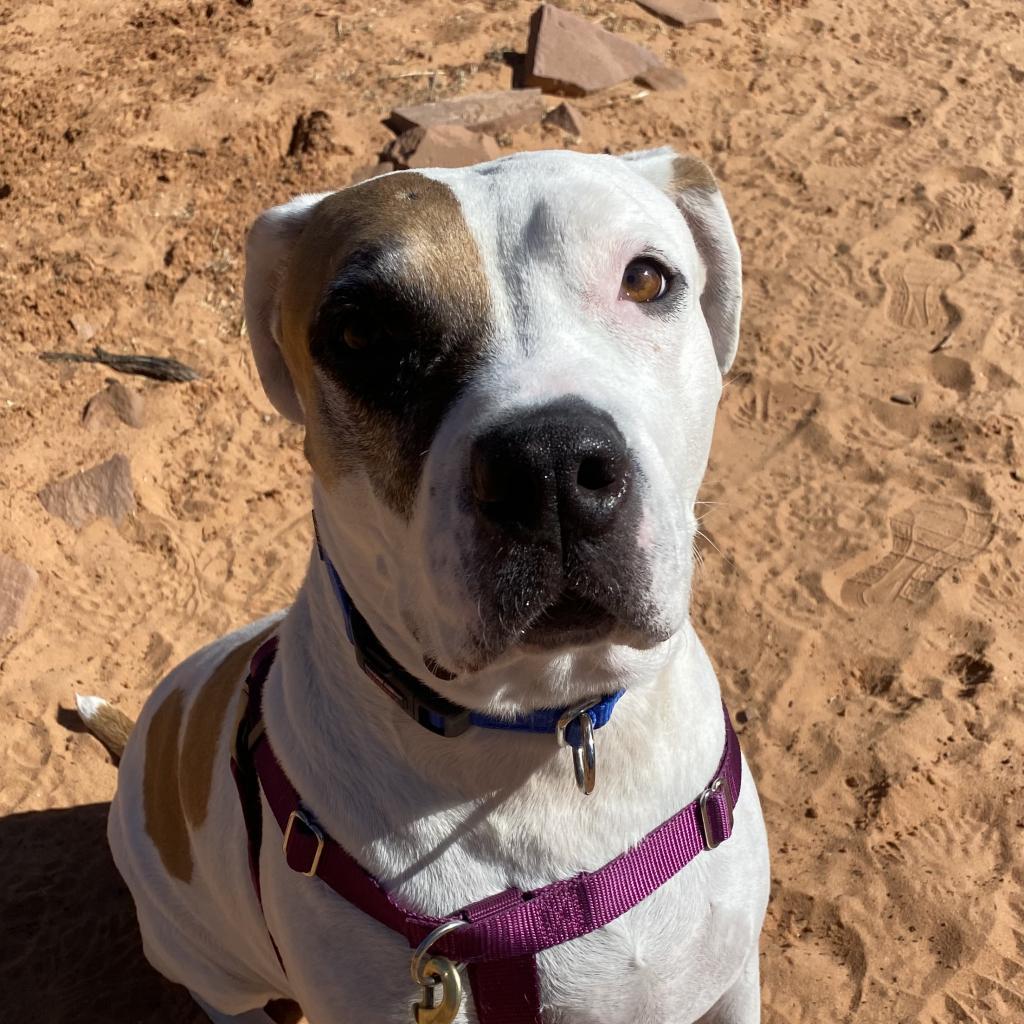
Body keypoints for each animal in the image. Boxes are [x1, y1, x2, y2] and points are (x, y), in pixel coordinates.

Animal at [79, 146, 770, 1024]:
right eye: (360, 332)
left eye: (646, 279)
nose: (548, 468)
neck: (551, 738)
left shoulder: (732, 981)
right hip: (203, 961)